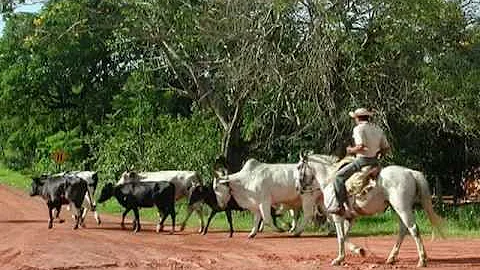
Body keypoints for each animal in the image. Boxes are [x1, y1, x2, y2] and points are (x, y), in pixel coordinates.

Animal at [294, 154, 444, 268]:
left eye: (299, 167)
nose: (298, 187)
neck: (329, 180)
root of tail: (410, 172)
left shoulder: (337, 216)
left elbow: (340, 237)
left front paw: (339, 259)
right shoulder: (349, 218)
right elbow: (345, 236)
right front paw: (359, 251)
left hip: (403, 208)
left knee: (413, 229)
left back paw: (422, 260)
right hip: (399, 209)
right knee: (403, 230)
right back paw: (391, 258)